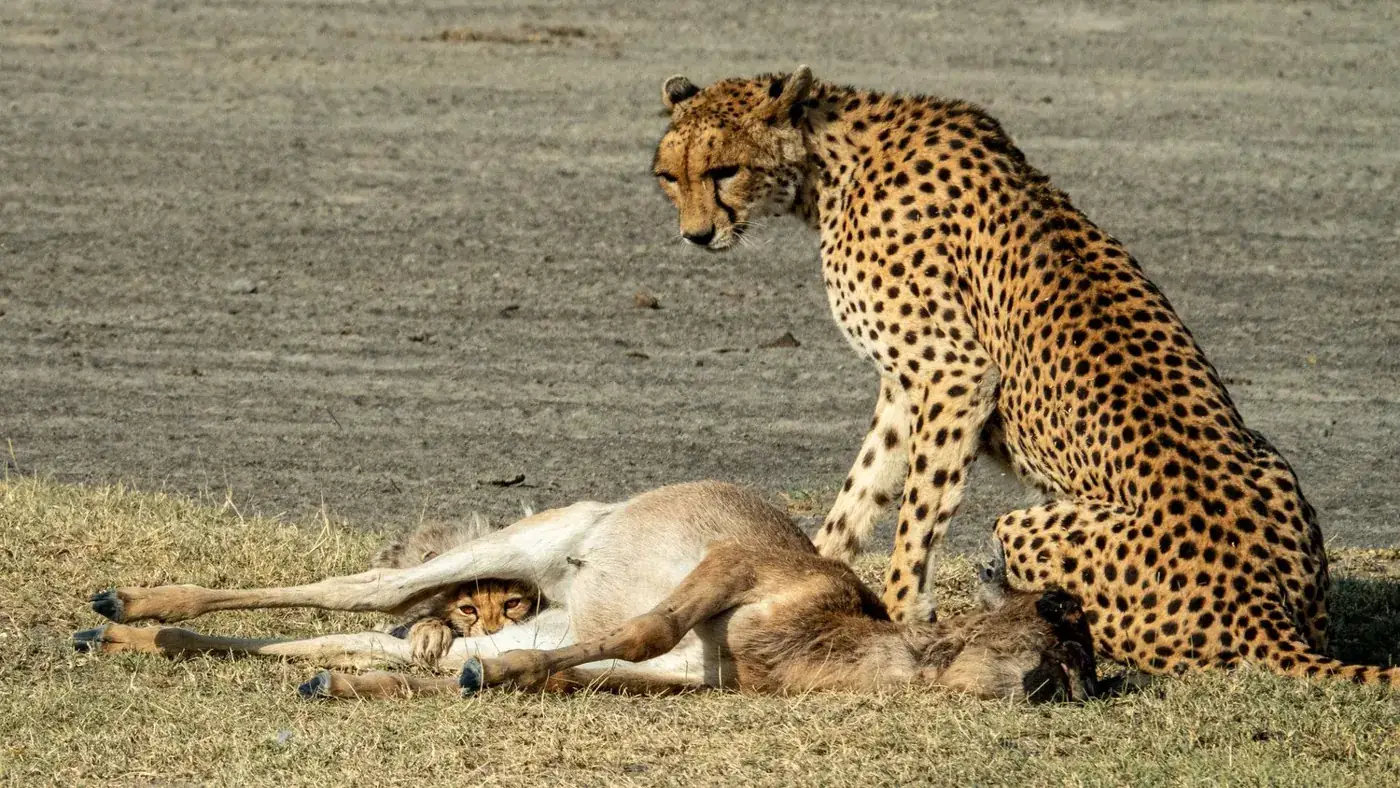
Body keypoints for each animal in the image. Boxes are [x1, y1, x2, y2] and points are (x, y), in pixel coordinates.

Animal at [651, 65, 1395, 684]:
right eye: (668, 176)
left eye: (724, 170)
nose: (694, 235)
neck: (829, 160)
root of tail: (1263, 613)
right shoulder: (903, 384)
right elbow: (859, 494)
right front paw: (810, 569)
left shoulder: (952, 372)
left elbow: (915, 518)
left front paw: (900, 616)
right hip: (1271, 459)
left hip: (1024, 523)